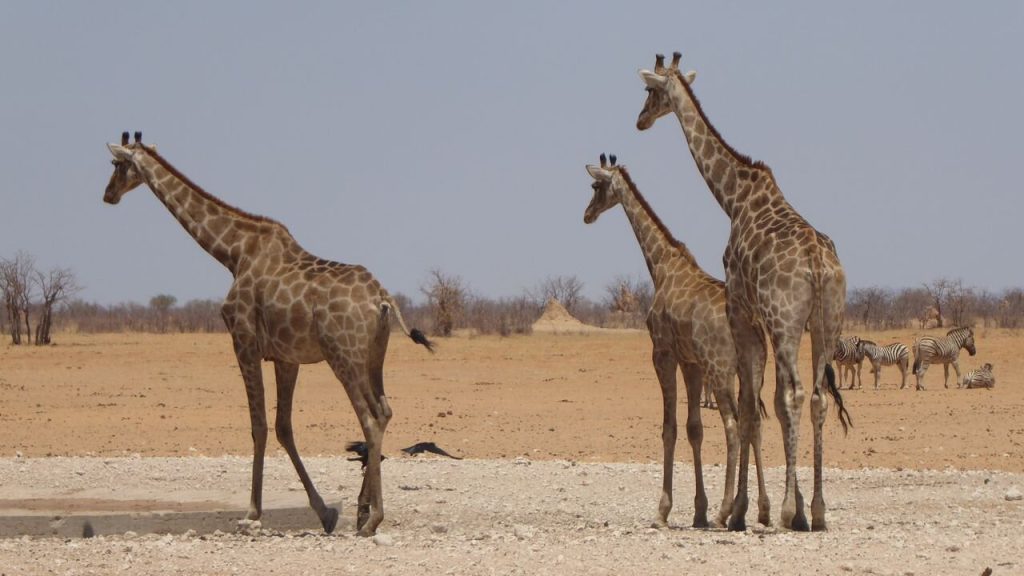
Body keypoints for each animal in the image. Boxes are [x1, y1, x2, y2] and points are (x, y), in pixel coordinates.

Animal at [103, 132, 433, 536]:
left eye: (117, 164)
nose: (108, 194)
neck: (232, 253)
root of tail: (382, 299)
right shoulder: (286, 357)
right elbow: (283, 427)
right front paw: (326, 512)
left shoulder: (243, 341)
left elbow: (258, 426)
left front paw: (252, 513)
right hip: (375, 357)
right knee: (384, 411)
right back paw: (361, 510)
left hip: (344, 357)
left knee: (369, 418)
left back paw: (372, 519)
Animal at [584, 153, 769, 528]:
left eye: (596, 185)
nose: (587, 214)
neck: (661, 266)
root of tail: (754, 322)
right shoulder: (691, 362)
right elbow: (694, 428)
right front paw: (698, 510)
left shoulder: (663, 353)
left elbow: (669, 427)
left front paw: (663, 511)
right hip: (752, 368)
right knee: (754, 423)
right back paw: (759, 509)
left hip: (721, 369)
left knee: (733, 425)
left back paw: (726, 511)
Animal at [636, 53, 851, 531]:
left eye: (650, 91)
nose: (639, 120)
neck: (732, 198)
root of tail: (817, 265)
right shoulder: (758, 320)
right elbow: (759, 404)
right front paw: (770, 506)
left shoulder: (741, 309)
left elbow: (751, 406)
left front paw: (738, 510)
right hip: (826, 322)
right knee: (816, 398)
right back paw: (818, 511)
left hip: (787, 321)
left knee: (793, 394)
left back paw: (789, 512)